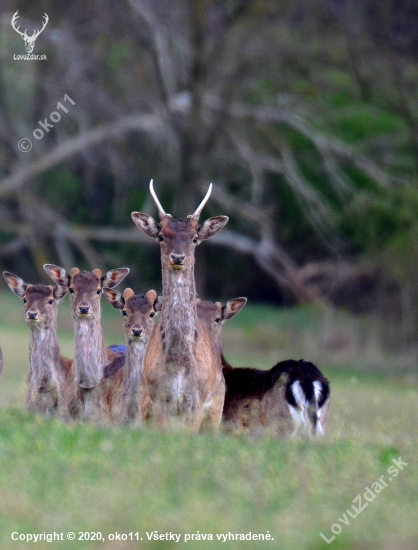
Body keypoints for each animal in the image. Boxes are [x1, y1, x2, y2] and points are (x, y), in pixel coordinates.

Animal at [131, 181, 227, 436]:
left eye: (194, 238)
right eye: (161, 236)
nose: (177, 257)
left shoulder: (195, 401)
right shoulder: (158, 399)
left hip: (216, 407)